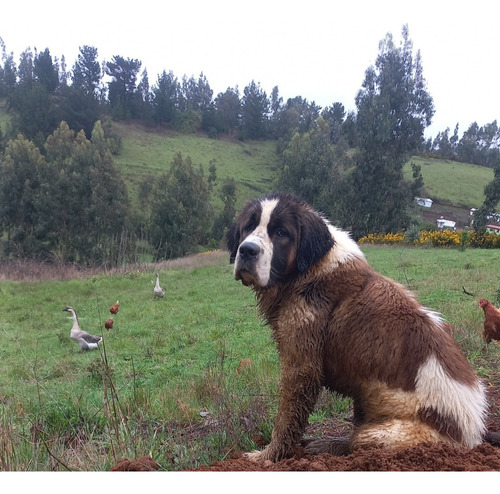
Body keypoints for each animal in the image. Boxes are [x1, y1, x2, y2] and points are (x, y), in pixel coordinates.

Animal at [228, 193, 488, 464]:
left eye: (280, 233)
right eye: (248, 227)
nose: (247, 250)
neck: (310, 269)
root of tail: (472, 439)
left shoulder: (301, 366)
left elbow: (286, 419)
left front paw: (267, 456)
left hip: (385, 433)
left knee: (357, 440)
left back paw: (331, 445)